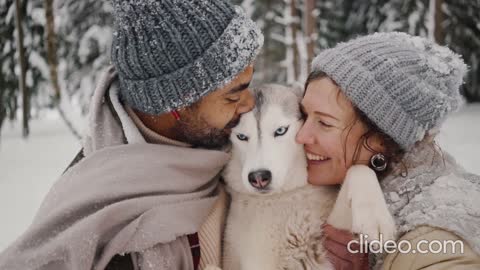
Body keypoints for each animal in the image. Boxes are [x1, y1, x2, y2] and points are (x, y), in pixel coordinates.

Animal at [219, 85, 396, 270]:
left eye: (280, 131)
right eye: (241, 137)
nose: (259, 177)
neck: (288, 195)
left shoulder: (330, 241)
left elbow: (359, 168)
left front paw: (374, 217)